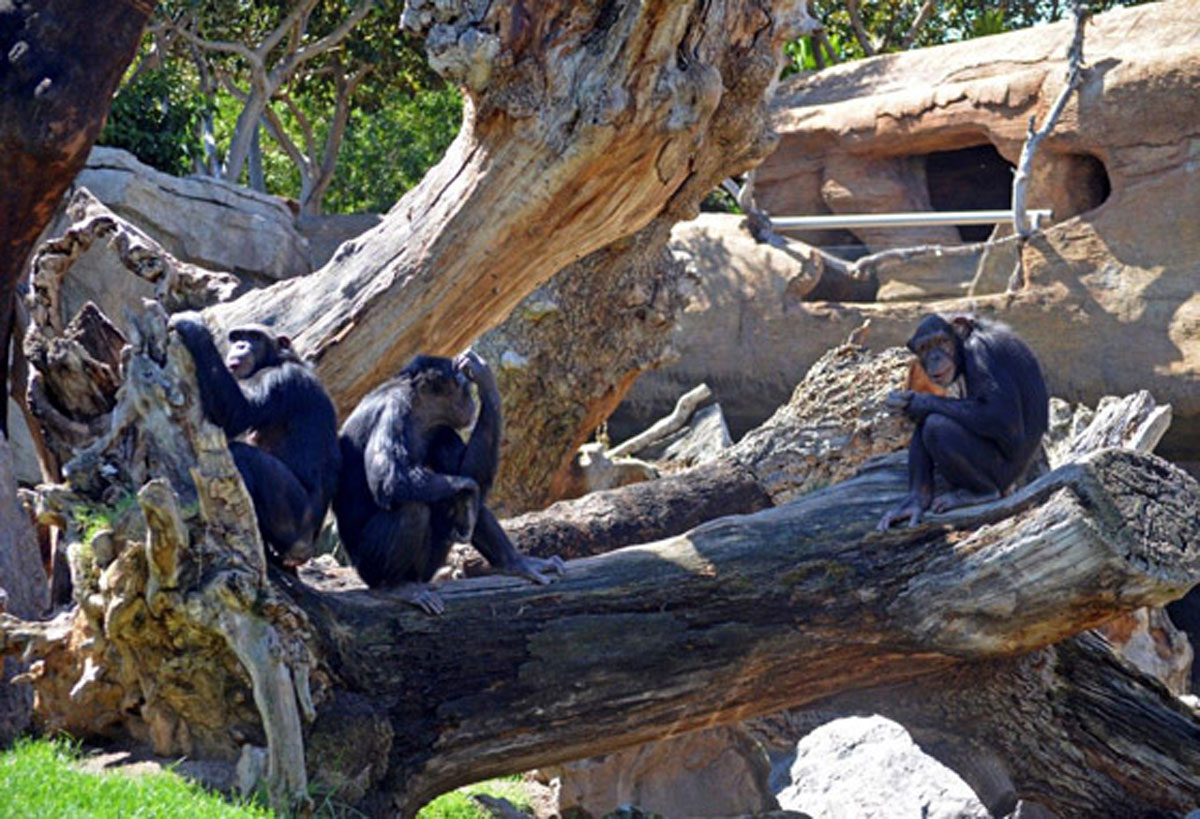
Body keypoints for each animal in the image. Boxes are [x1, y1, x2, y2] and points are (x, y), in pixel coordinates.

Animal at [169, 309, 340, 564]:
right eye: (238, 336)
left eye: (254, 337)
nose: (240, 345)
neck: (278, 360)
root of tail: (306, 549)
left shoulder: (277, 380)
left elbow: (238, 412)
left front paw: (193, 326)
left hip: (293, 521)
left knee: (244, 456)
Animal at [336, 348, 564, 612]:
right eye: (464, 389)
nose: (472, 403)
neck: (419, 412)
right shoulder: (393, 411)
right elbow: (389, 479)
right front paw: (468, 491)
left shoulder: (442, 430)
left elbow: (466, 471)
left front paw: (486, 380)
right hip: (368, 567)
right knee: (413, 508)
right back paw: (395, 586)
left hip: (428, 567)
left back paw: (515, 562)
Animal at [873, 312, 1051, 528]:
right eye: (924, 347)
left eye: (942, 341)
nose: (935, 357)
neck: (966, 343)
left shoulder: (981, 352)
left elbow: (1001, 414)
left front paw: (916, 402)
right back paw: (915, 502)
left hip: (1002, 474)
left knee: (937, 425)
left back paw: (980, 493)